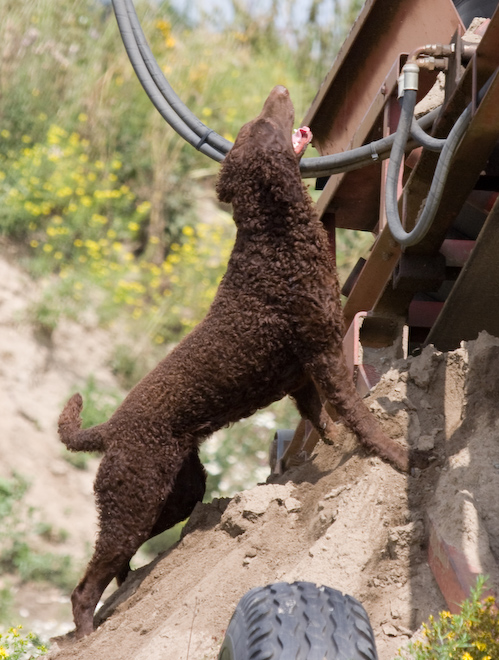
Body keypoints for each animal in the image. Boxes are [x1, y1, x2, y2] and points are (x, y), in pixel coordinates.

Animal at [58, 85, 410, 636]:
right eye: (264, 122)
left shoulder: (301, 376)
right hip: (133, 497)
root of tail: (108, 428)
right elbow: (359, 416)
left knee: (118, 563)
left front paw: (323, 450)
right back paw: (87, 633)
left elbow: (320, 420)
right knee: (86, 585)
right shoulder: (325, 353)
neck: (274, 242)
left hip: (176, 492)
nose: (281, 90)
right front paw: (396, 456)